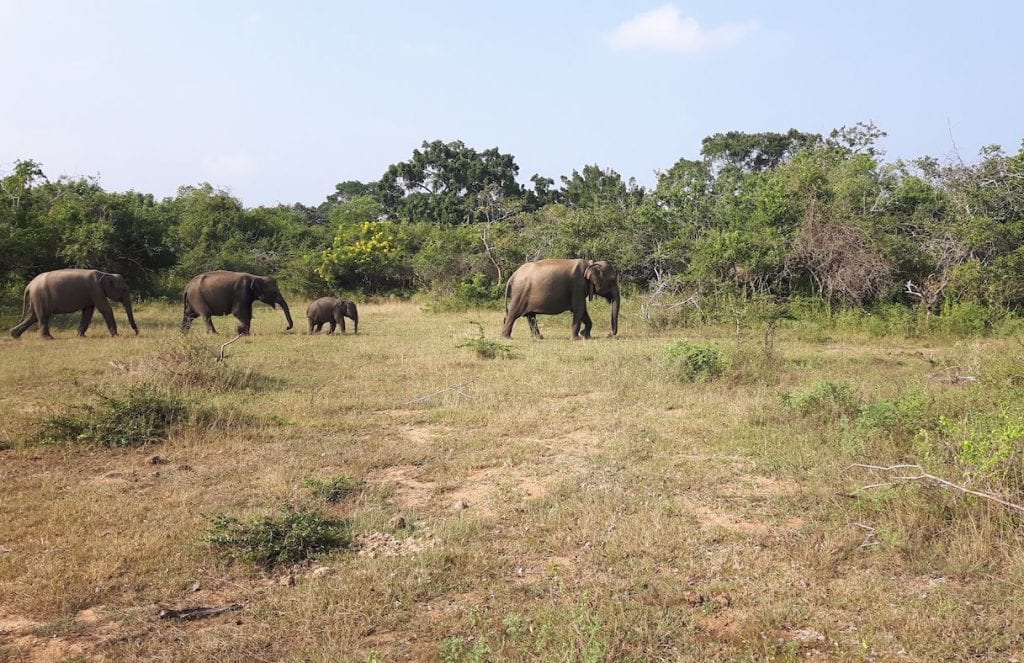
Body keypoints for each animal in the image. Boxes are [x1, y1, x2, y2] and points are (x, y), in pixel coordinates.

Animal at [9, 268, 139, 340]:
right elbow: (105, 309)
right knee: (42, 316)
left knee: (33, 317)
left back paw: (14, 335)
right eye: (124, 290)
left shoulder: (92, 293)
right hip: (40, 297)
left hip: (36, 298)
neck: (105, 273)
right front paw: (117, 336)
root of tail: (29, 285)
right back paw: (48, 338)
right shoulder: (95, 289)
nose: (137, 333)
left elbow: (88, 311)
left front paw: (81, 336)